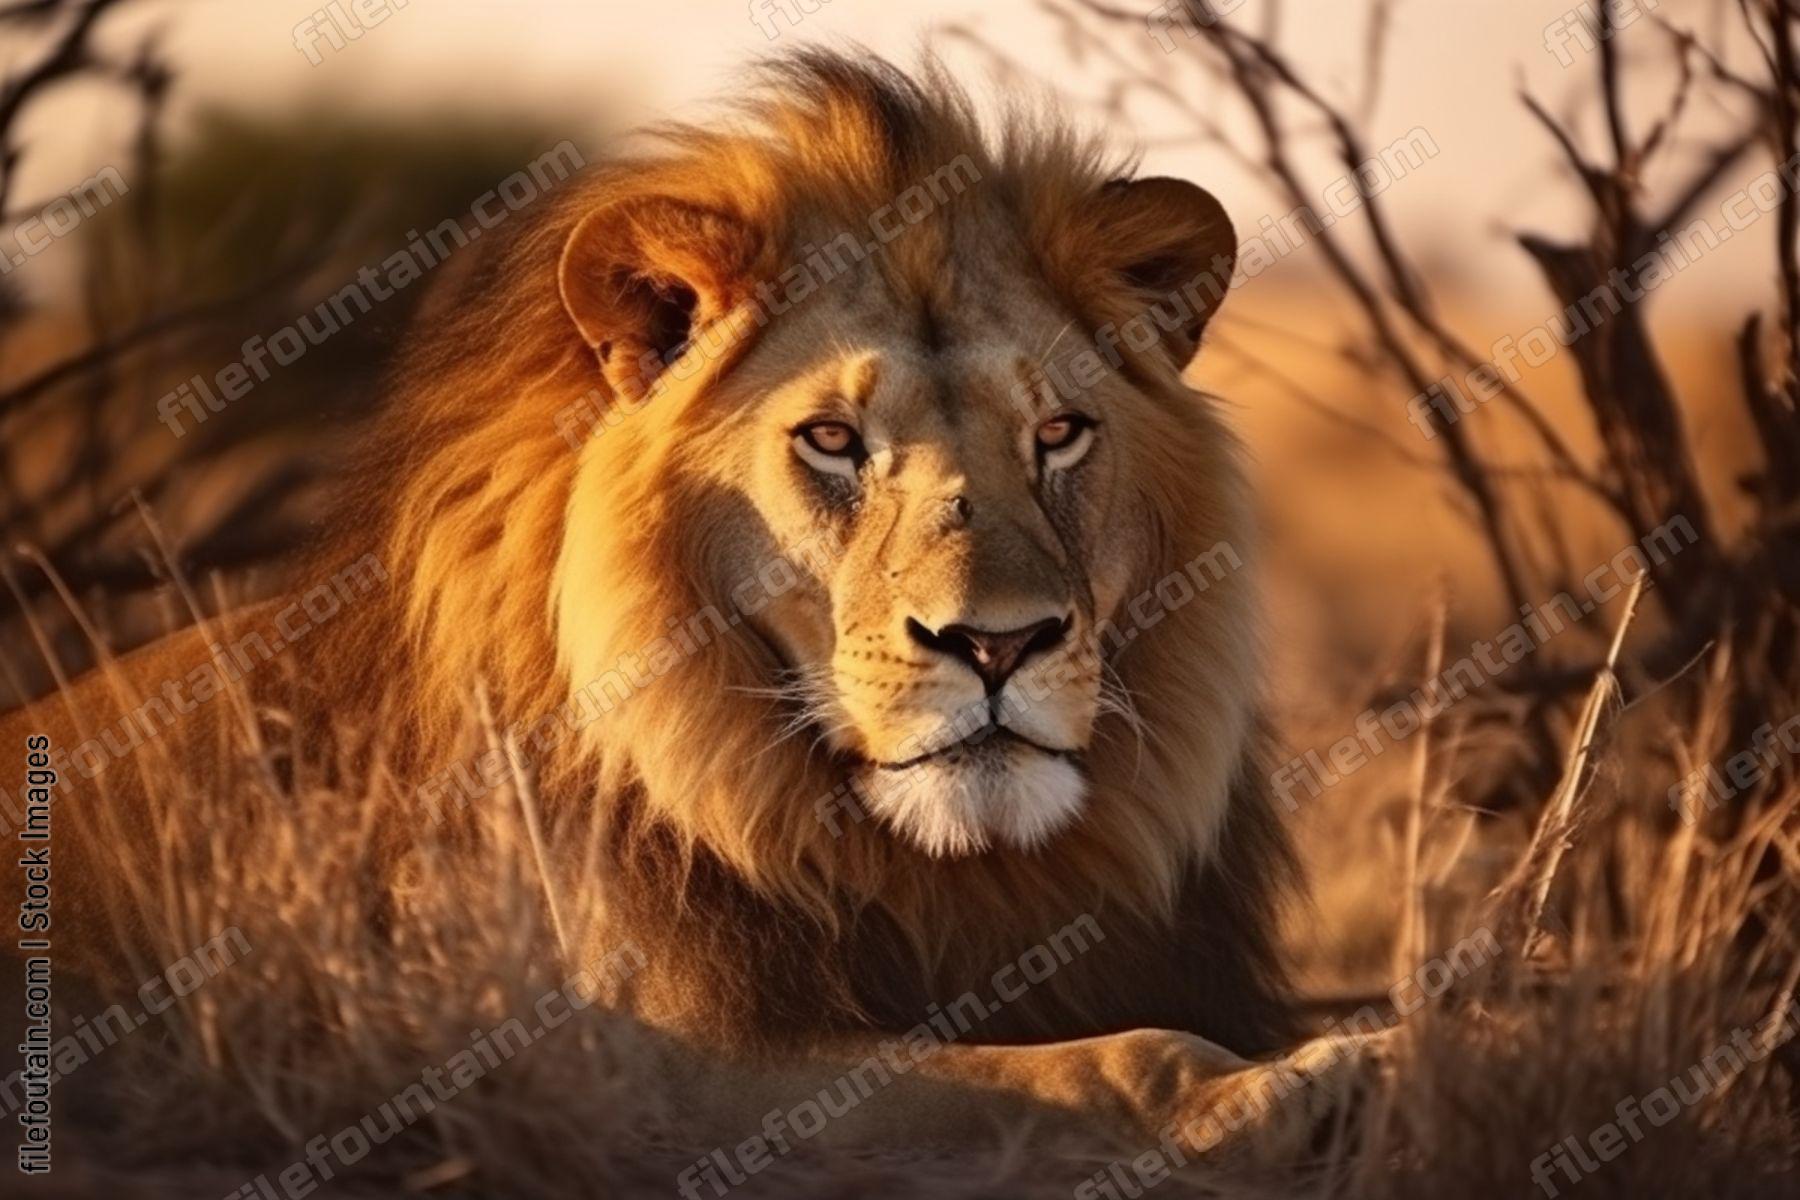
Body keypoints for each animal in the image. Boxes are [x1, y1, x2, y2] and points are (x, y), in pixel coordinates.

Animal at [2, 51, 1378, 1174]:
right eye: (832, 440)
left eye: (1058, 434)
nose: (997, 643)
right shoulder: (622, 1060)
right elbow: (1073, 1065)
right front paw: (1302, 1088)